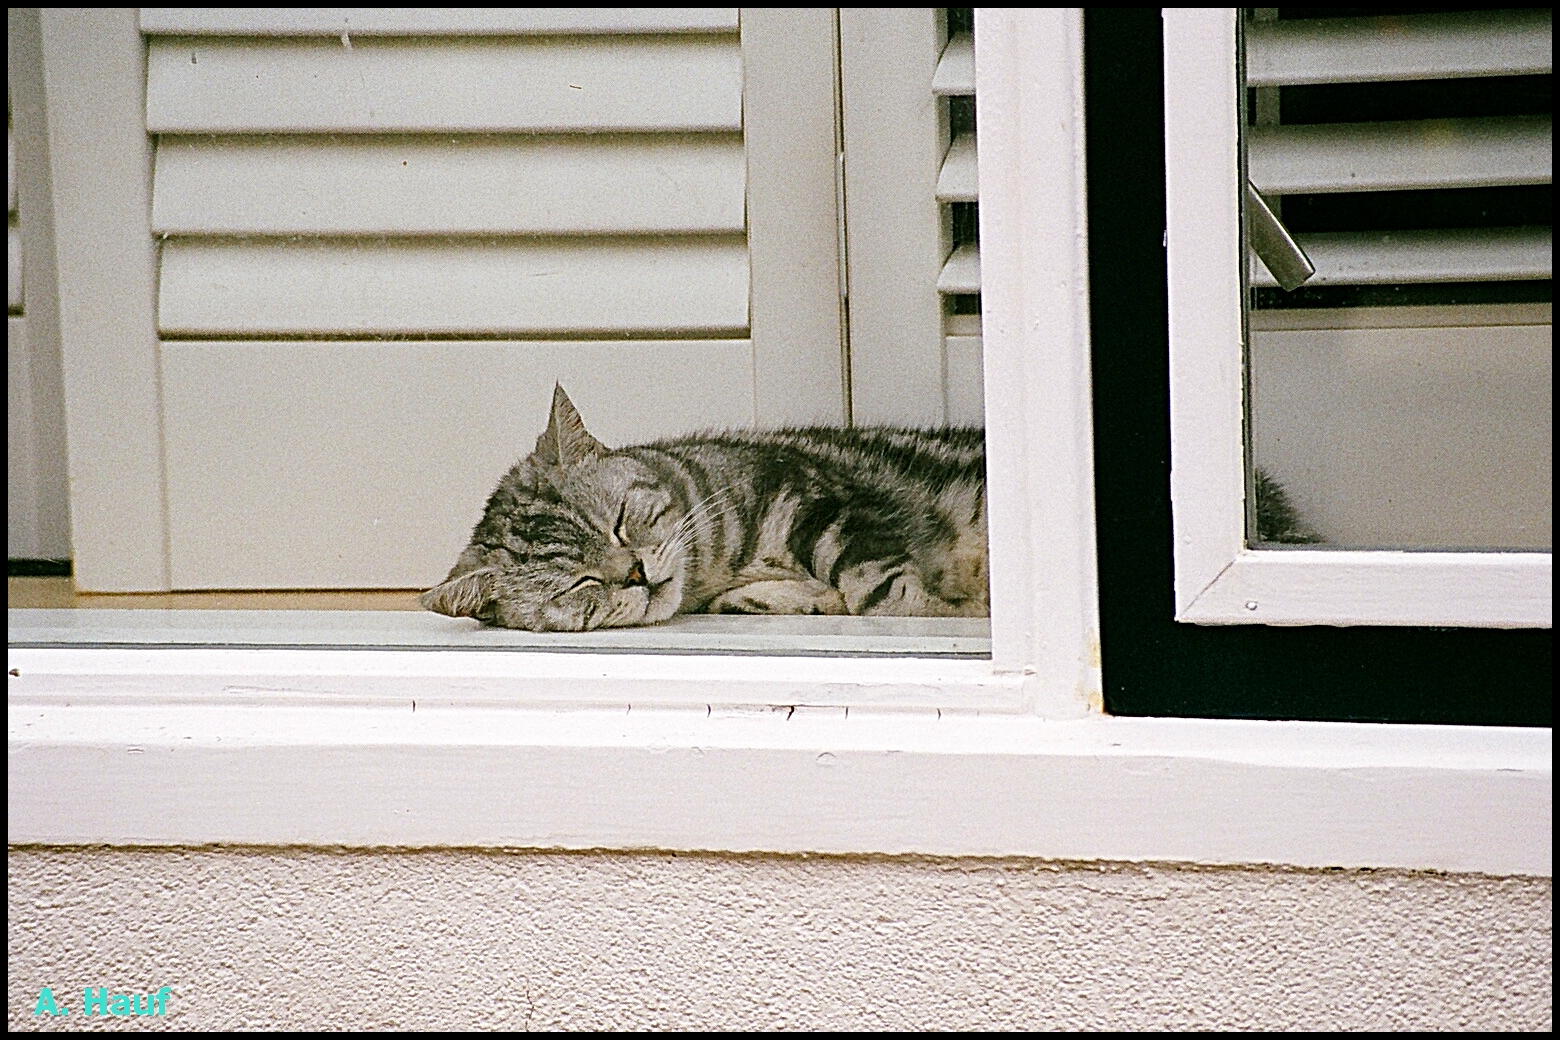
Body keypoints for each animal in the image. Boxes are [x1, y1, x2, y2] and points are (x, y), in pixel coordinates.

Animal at [421, 382, 985, 626]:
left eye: (619, 523)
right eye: (580, 583)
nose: (636, 574)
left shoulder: (813, 501)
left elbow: (880, 590)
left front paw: (960, 609)